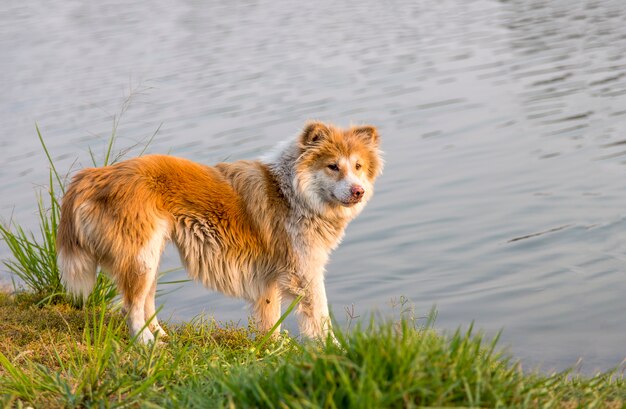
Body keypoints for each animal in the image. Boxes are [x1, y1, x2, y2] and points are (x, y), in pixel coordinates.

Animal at [57, 120, 380, 342]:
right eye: (333, 166)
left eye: (358, 166)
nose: (358, 191)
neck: (292, 192)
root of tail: (95, 175)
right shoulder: (305, 273)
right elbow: (321, 319)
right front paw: (333, 353)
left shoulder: (269, 277)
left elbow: (270, 317)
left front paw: (273, 348)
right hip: (140, 257)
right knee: (132, 307)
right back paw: (147, 343)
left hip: (149, 256)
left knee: (145, 301)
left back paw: (160, 336)